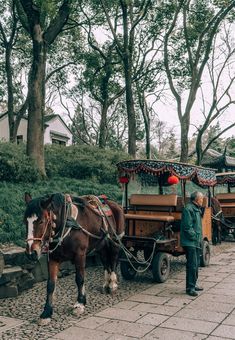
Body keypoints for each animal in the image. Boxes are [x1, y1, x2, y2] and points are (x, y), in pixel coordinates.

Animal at [24, 191, 125, 324]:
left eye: (41, 221)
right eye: (25, 221)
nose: (31, 252)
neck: (66, 223)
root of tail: (114, 203)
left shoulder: (80, 255)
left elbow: (80, 279)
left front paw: (80, 303)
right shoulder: (53, 257)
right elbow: (50, 284)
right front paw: (46, 313)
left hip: (115, 241)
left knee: (113, 259)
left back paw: (112, 284)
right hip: (101, 244)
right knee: (105, 260)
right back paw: (106, 283)